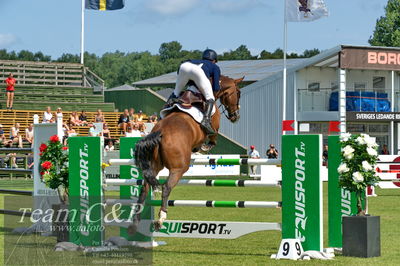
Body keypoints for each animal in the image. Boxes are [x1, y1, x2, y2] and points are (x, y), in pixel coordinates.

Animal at [130, 75, 244, 233]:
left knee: (144, 189)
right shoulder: (214, 125)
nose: (235, 116)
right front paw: (205, 147)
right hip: (179, 168)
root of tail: (160, 132)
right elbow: (213, 136)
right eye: (238, 93)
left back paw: (135, 222)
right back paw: (161, 218)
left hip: (154, 166)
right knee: (166, 187)